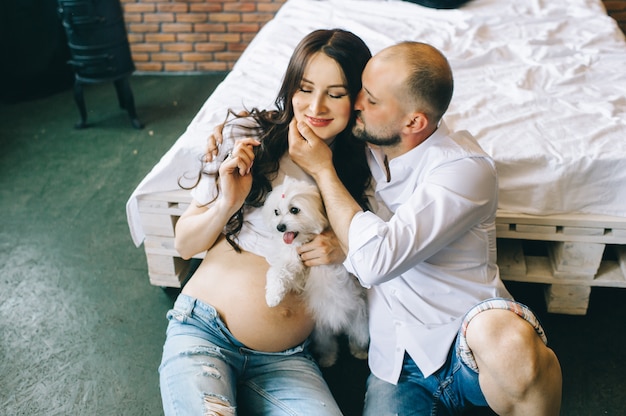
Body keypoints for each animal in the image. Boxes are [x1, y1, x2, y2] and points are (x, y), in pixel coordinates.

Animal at [260, 177, 368, 366]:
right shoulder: (295, 266)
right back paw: (327, 359)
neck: (306, 239)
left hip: (360, 322)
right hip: (321, 333)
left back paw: (359, 352)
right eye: (276, 212)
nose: (280, 227)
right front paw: (273, 296)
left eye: (294, 210)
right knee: (329, 345)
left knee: (356, 338)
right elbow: (278, 272)